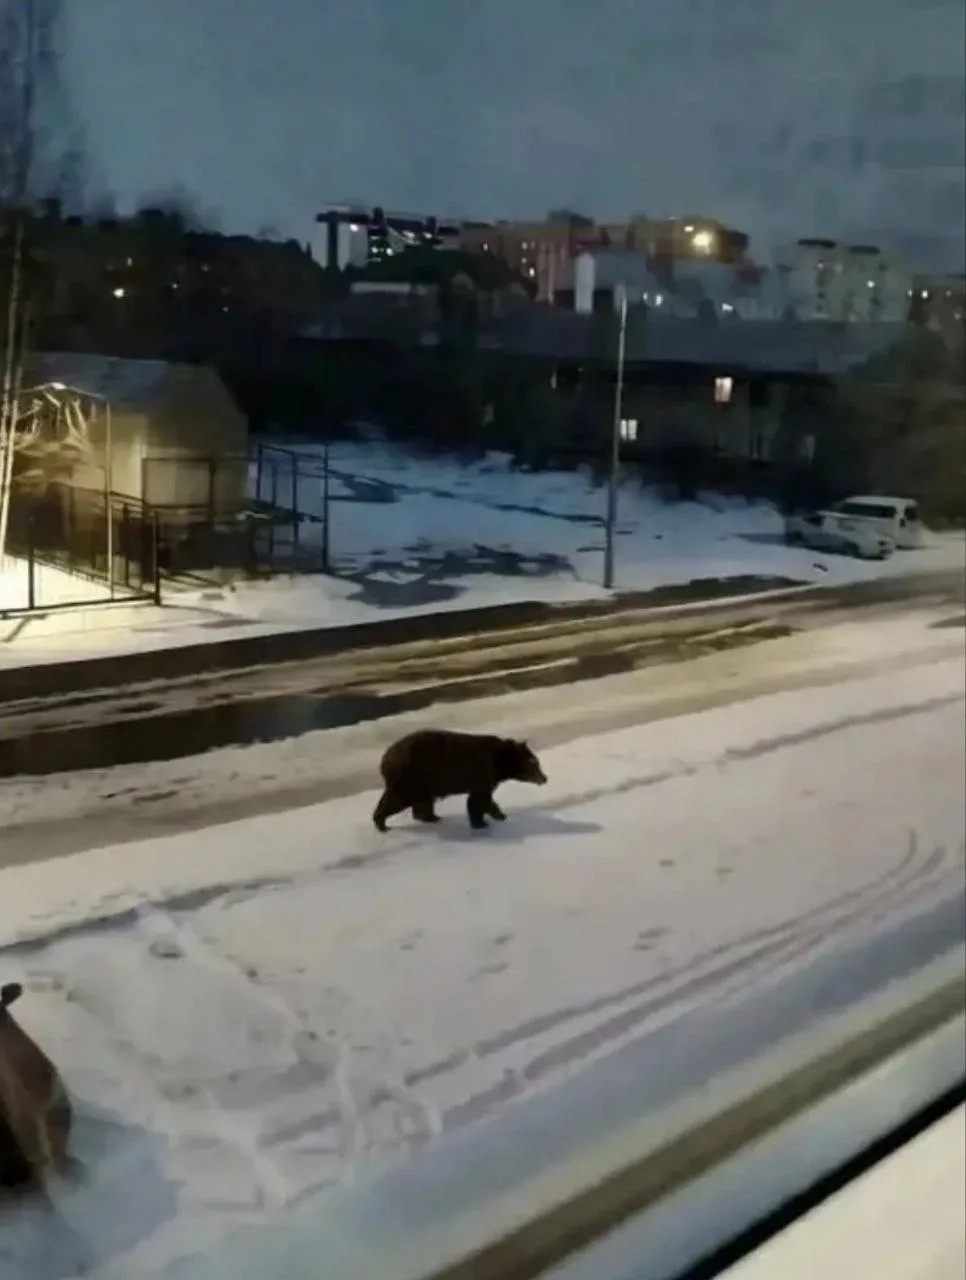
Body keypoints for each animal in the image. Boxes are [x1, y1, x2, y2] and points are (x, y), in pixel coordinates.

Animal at [372, 729, 547, 832]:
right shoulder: (482, 772)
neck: (499, 762)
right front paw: (481, 823)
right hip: (411, 776)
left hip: (423, 782)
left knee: (423, 801)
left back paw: (432, 817)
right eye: (535, 762)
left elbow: (483, 799)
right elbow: (478, 799)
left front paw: (500, 815)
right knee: (397, 800)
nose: (545, 778)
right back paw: (381, 823)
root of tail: (385, 758)